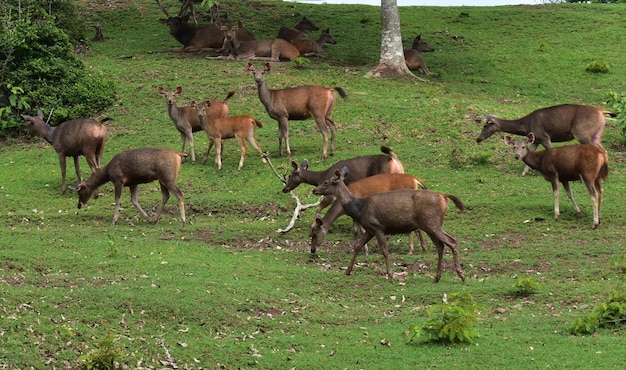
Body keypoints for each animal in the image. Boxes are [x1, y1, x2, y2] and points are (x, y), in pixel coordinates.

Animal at [312, 168, 464, 284]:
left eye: (326, 182)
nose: (314, 190)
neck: (358, 208)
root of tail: (444, 197)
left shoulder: (377, 227)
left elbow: (385, 251)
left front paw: (390, 276)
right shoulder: (369, 229)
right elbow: (357, 246)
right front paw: (348, 270)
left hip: (432, 223)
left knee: (452, 241)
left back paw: (461, 275)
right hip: (430, 225)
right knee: (441, 246)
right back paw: (437, 277)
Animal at [476, 102, 612, 175]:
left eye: (485, 125)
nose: (478, 139)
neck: (526, 125)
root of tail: (601, 112)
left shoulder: (544, 137)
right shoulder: (537, 139)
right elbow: (530, 152)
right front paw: (523, 173)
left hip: (581, 133)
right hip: (595, 135)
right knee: (604, 149)